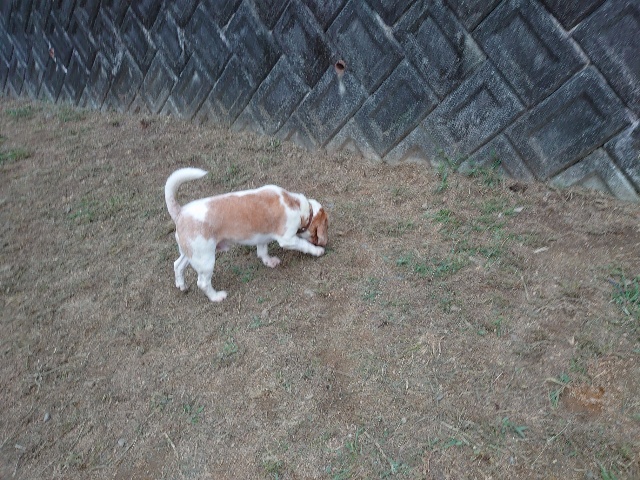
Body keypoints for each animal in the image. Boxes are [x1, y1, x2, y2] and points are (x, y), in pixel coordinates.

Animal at [164, 168, 328, 302]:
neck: (296, 204)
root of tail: (180, 213)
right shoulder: (287, 239)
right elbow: (304, 245)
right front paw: (317, 251)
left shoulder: (262, 236)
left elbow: (262, 251)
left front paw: (269, 262)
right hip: (205, 259)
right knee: (203, 283)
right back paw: (217, 297)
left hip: (191, 253)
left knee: (177, 265)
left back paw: (181, 285)